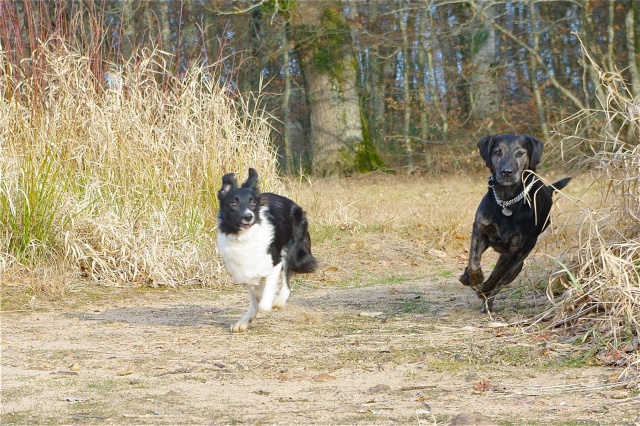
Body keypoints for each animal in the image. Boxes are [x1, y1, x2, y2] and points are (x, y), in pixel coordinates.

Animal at [216, 167, 316, 332]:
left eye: (252, 202)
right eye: (233, 203)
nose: (248, 216)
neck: (244, 238)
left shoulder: (275, 263)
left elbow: (264, 300)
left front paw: (271, 299)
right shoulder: (242, 271)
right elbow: (255, 290)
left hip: (288, 251)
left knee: (286, 282)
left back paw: (279, 300)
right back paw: (244, 321)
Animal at [460, 136, 568, 312]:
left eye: (520, 153)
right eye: (497, 152)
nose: (506, 172)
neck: (507, 201)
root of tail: (547, 189)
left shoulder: (513, 250)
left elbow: (496, 276)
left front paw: (483, 288)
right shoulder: (479, 230)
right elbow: (473, 263)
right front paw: (472, 278)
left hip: (518, 264)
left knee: (500, 283)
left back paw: (487, 301)